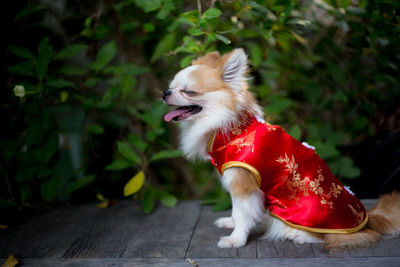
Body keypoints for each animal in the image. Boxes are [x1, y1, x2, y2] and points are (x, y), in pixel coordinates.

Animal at [162, 48, 400, 251]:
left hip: (293, 213)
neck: (232, 128)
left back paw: (298, 235)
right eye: (171, 85)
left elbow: (242, 214)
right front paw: (230, 222)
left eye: (189, 91)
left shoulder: (243, 184)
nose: (166, 92)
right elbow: (237, 212)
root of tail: (366, 219)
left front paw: (235, 240)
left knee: (335, 237)